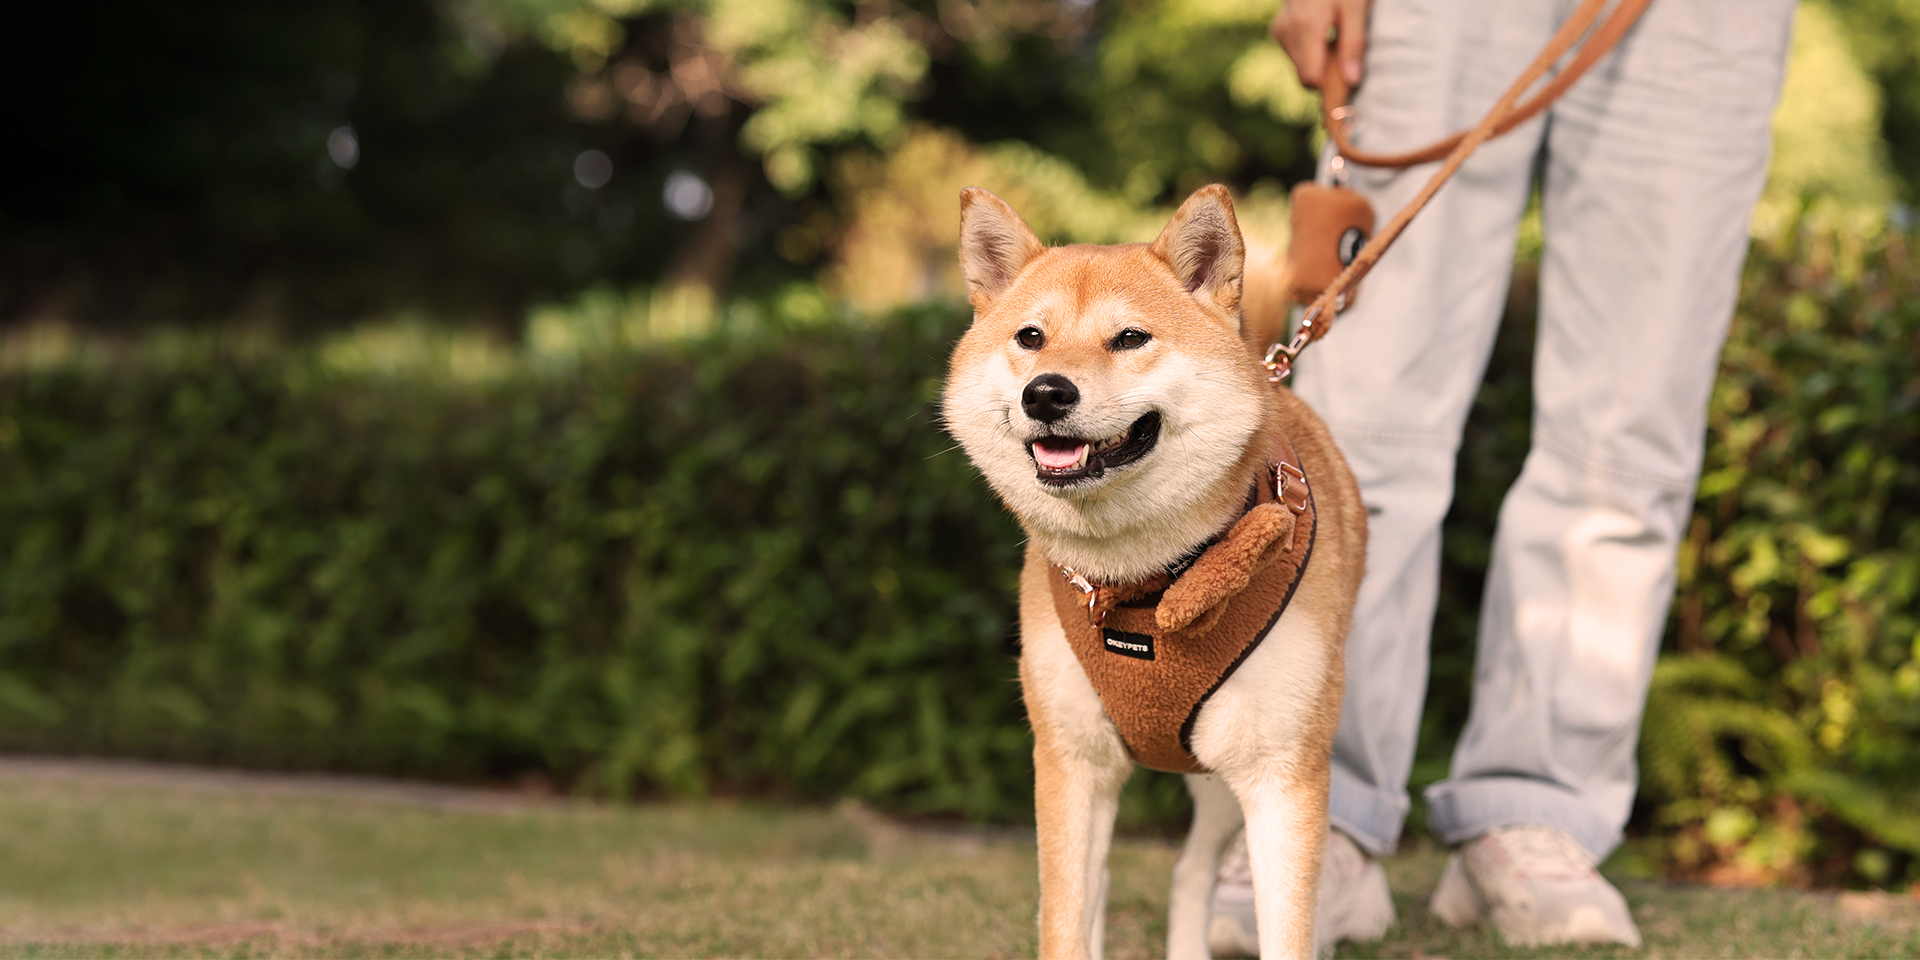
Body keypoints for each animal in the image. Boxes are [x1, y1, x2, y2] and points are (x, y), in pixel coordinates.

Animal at [940, 187, 1367, 960]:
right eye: (1029, 337)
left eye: (1131, 338)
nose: (1046, 393)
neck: (1146, 585)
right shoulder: (1070, 764)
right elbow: (1064, 924)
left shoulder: (1282, 776)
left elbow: (1287, 931)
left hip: (1225, 779)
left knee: (1192, 871)